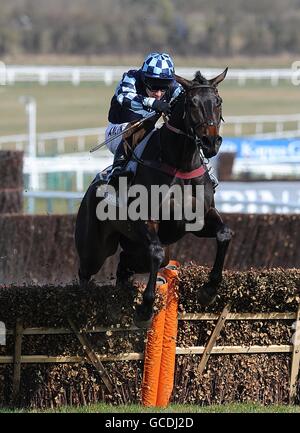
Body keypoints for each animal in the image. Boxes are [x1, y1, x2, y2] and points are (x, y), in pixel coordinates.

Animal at [74, 67, 232, 326]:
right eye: (191, 103)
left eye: (218, 102)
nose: (210, 142)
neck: (180, 164)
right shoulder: (144, 221)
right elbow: (155, 252)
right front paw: (146, 309)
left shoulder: (200, 219)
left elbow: (224, 234)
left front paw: (209, 290)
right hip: (95, 247)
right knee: (85, 273)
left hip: (133, 247)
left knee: (125, 265)